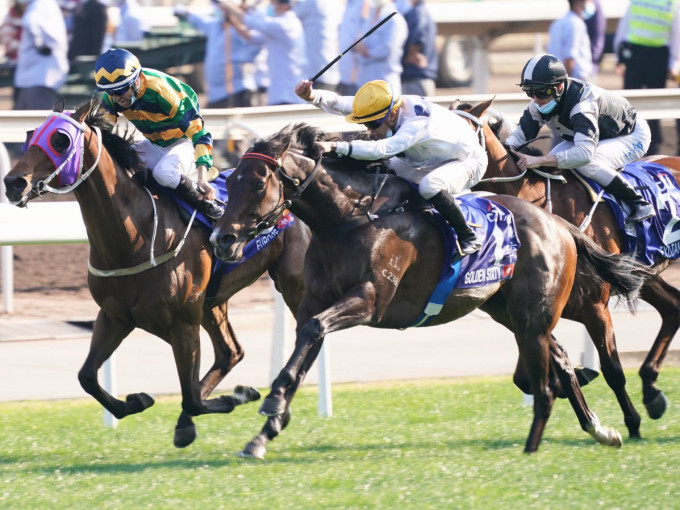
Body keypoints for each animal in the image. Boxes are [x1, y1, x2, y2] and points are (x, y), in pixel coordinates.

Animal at [1, 95, 310, 446]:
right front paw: (137, 401)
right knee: (230, 352)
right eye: (30, 134)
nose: (14, 183)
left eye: (60, 140)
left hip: (293, 285)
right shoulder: (115, 316)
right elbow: (87, 377)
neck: (136, 236)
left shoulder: (183, 322)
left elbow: (191, 396)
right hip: (213, 302)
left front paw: (234, 398)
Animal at [210, 122, 652, 458]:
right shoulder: (314, 302)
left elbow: (313, 331)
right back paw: (599, 429)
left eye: (258, 183)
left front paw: (272, 399)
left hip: (532, 315)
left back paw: (548, 441)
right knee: (559, 358)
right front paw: (264, 433)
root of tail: (559, 224)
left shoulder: (369, 300)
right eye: (230, 180)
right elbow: (305, 343)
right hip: (509, 312)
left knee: (552, 372)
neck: (349, 218)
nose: (222, 239)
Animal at [452, 97, 680, 424]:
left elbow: (612, 370)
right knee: (673, 307)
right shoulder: (532, 313)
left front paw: (630, 421)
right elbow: (526, 378)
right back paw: (651, 390)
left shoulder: (595, 304)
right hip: (641, 272)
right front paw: (576, 380)